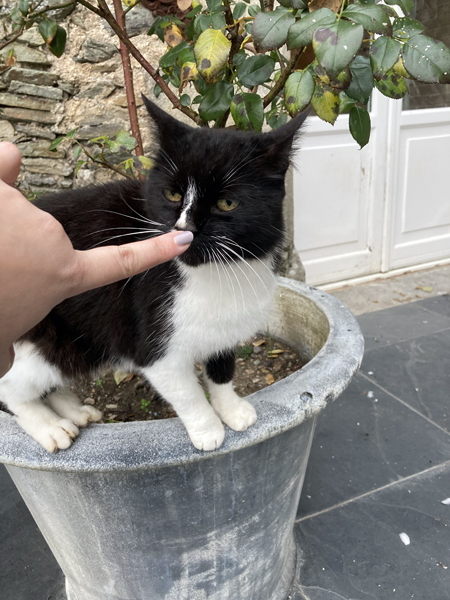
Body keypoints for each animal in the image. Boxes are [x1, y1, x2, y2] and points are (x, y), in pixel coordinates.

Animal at [0, 98, 306, 452]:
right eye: (172, 195)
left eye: (227, 202)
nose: (184, 229)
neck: (215, 273)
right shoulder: (152, 340)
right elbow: (186, 392)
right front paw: (207, 430)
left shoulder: (225, 328)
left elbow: (221, 369)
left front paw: (232, 410)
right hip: (44, 334)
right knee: (14, 385)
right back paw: (49, 426)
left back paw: (74, 412)